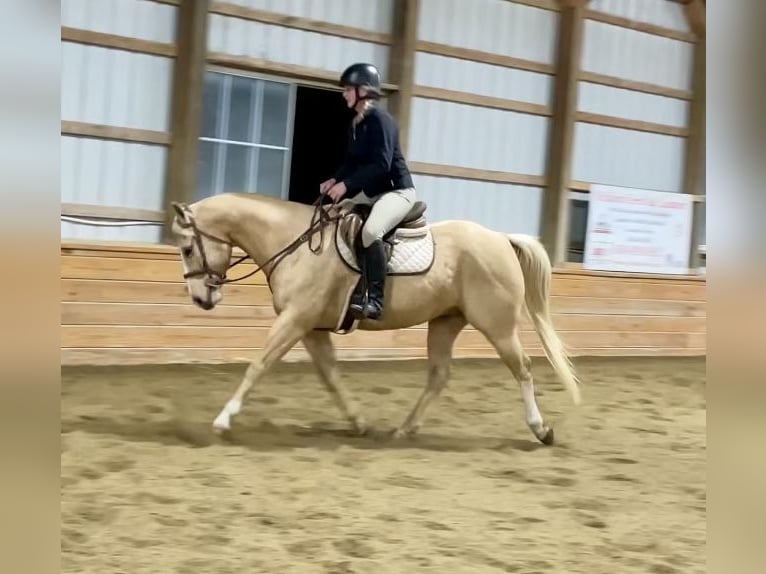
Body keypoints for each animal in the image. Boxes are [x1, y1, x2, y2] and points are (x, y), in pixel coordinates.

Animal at [169, 191, 581, 445]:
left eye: (188, 248)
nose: (202, 299)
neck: (295, 244)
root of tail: (500, 238)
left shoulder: (294, 320)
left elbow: (257, 366)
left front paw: (223, 420)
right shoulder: (310, 328)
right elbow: (331, 377)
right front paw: (359, 423)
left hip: (497, 326)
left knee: (523, 368)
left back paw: (541, 430)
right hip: (445, 322)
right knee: (439, 376)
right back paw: (403, 430)